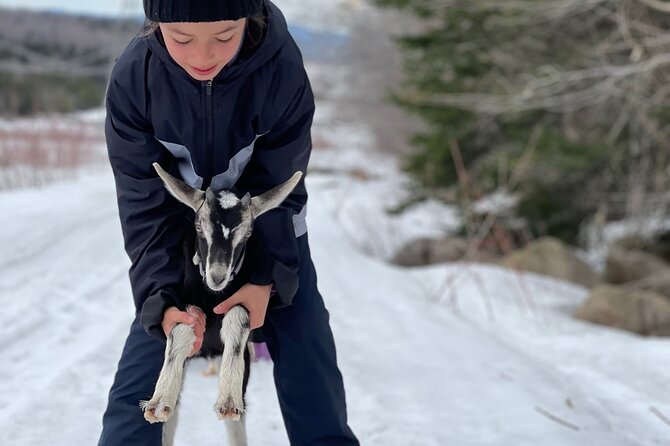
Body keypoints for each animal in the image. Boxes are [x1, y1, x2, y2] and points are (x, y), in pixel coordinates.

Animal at [139, 162, 302, 446]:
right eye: (197, 226)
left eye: (248, 233)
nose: (217, 276)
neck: (212, 297)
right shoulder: (187, 307)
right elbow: (181, 328)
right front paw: (160, 401)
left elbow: (238, 316)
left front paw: (228, 399)